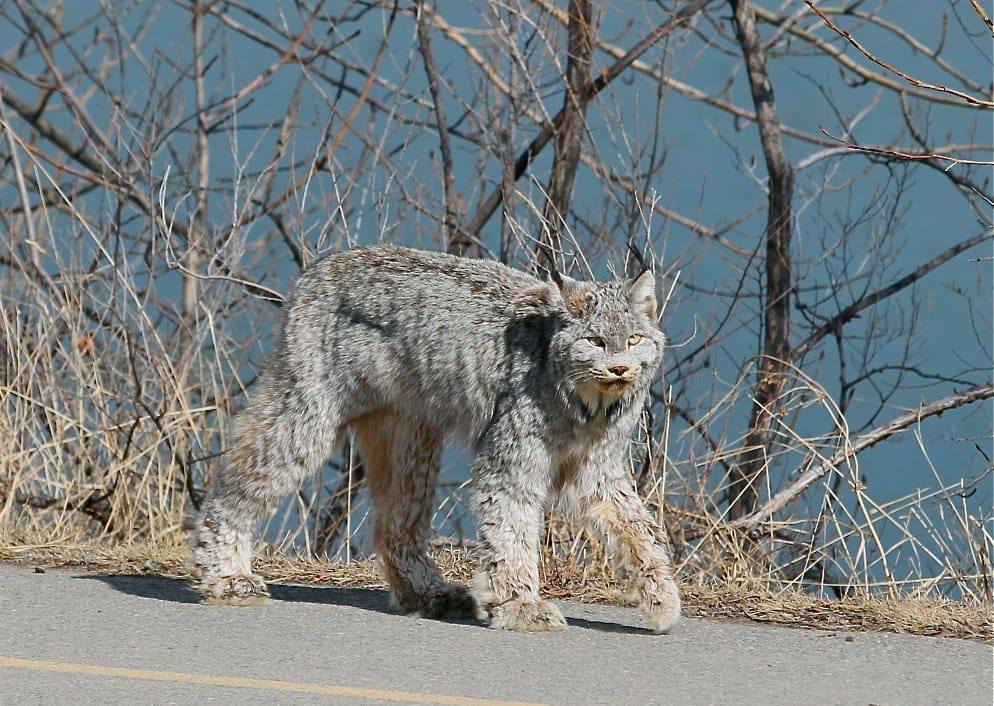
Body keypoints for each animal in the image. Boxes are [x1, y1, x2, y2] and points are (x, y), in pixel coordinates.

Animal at [190, 243, 680, 632]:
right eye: (595, 341)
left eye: (634, 339)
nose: (620, 370)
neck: (585, 405)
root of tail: (325, 262)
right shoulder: (509, 462)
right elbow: (513, 531)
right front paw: (522, 605)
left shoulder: (596, 469)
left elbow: (640, 526)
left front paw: (662, 596)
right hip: (310, 411)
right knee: (242, 467)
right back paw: (224, 573)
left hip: (411, 428)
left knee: (392, 523)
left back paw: (429, 594)